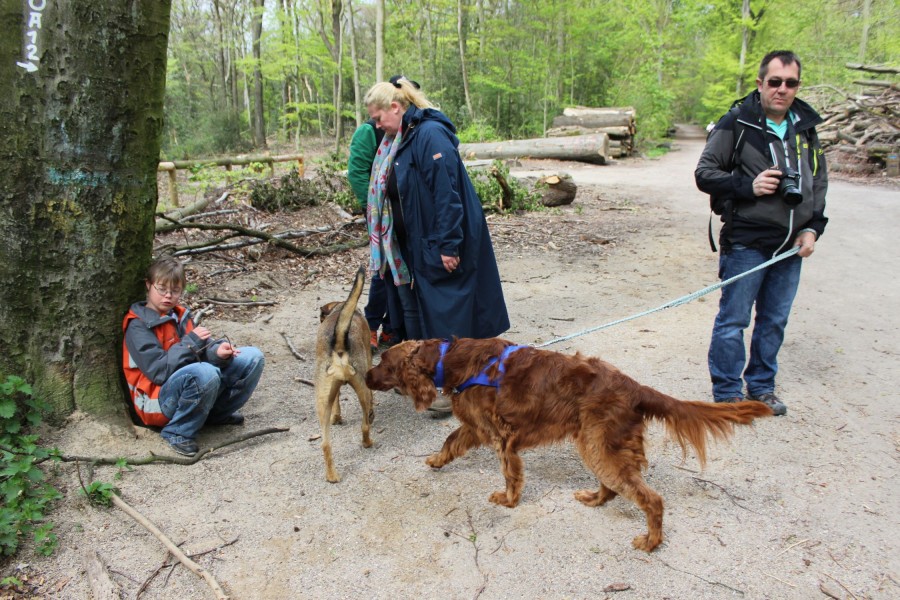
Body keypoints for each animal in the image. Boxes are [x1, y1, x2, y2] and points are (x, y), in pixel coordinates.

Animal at [314, 266, 374, 483]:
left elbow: (337, 403)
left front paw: (337, 417)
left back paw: (332, 476)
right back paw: (368, 442)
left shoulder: (333, 392)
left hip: (322, 401)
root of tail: (339, 344)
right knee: (365, 425)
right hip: (363, 388)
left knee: (325, 444)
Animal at [365, 337, 773, 551]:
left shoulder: (500, 436)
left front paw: (507, 500)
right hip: (595, 443)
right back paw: (594, 499)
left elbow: (510, 474)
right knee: (613, 486)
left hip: (599, 444)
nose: (365, 376)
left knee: (651, 498)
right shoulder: (477, 427)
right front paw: (436, 460)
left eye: (383, 361)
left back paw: (651, 541)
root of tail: (634, 388)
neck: (451, 358)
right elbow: (451, 439)